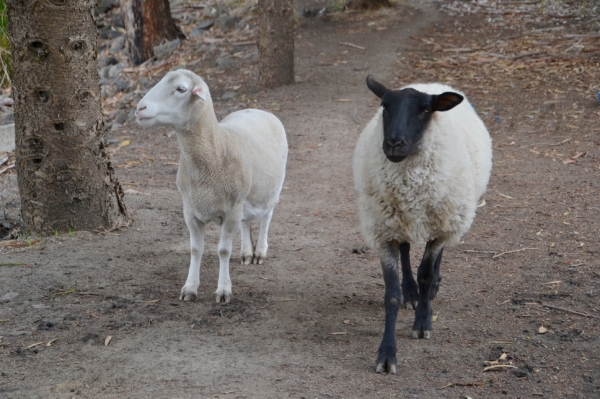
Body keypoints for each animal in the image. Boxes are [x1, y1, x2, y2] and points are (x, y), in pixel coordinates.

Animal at [135, 71, 288, 304]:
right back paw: (246, 252)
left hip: (271, 190)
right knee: (246, 222)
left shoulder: (231, 210)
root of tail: (258, 109)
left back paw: (259, 251)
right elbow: (195, 249)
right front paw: (190, 287)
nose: (139, 108)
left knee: (266, 218)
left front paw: (223, 290)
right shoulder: (191, 210)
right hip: (243, 198)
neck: (218, 147)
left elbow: (223, 251)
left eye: (181, 89)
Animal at [354, 76, 490, 376]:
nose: (394, 143)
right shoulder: (384, 232)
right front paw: (387, 355)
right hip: (400, 222)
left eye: (425, 110)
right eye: (384, 106)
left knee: (436, 258)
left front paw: (423, 323)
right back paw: (411, 293)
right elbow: (391, 295)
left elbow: (426, 273)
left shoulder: (441, 229)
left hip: (449, 220)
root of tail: (430, 83)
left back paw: (431, 290)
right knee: (406, 250)